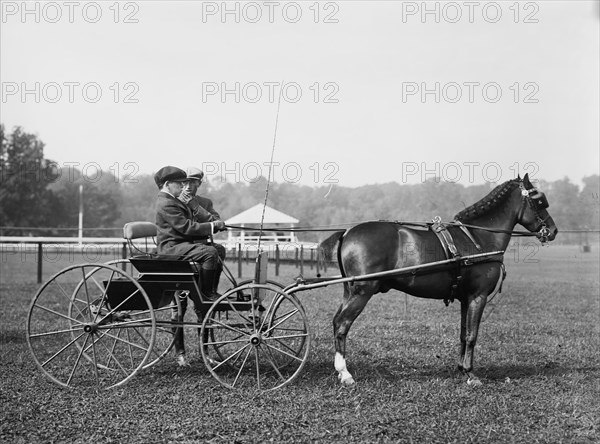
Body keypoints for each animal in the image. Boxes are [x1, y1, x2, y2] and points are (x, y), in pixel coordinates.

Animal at [318, 173, 556, 386]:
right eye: (539, 201)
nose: (553, 230)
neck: (478, 238)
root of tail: (347, 233)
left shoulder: (465, 298)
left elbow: (463, 334)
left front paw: (461, 369)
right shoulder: (477, 296)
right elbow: (472, 335)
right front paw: (471, 374)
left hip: (350, 291)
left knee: (337, 321)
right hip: (362, 291)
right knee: (342, 324)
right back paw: (345, 373)